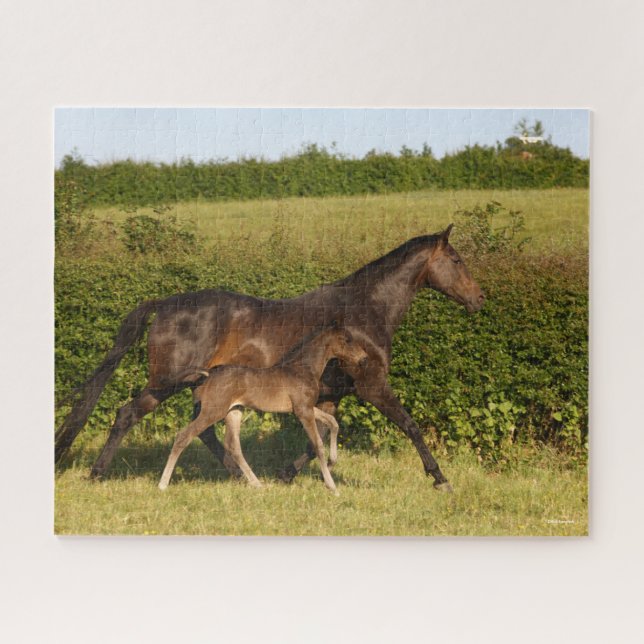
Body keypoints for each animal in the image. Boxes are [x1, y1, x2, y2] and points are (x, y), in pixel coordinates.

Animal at [158, 326, 368, 494]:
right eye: (347, 340)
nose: (364, 358)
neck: (303, 369)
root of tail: (209, 374)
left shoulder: (306, 408)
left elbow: (333, 423)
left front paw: (333, 461)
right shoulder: (303, 411)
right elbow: (317, 444)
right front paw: (332, 486)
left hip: (234, 411)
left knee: (233, 446)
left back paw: (257, 484)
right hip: (213, 411)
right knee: (184, 435)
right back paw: (162, 484)